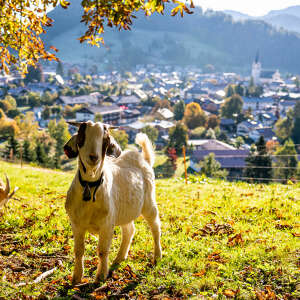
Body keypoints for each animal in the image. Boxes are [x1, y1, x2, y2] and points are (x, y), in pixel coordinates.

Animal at [63, 120, 162, 284]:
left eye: (105, 140)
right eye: (82, 136)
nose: (93, 157)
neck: (91, 185)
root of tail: (144, 160)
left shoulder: (107, 225)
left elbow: (102, 251)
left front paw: (101, 276)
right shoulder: (76, 224)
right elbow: (78, 251)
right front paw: (76, 277)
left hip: (149, 203)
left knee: (155, 228)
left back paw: (157, 257)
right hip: (124, 211)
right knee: (129, 230)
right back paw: (119, 258)